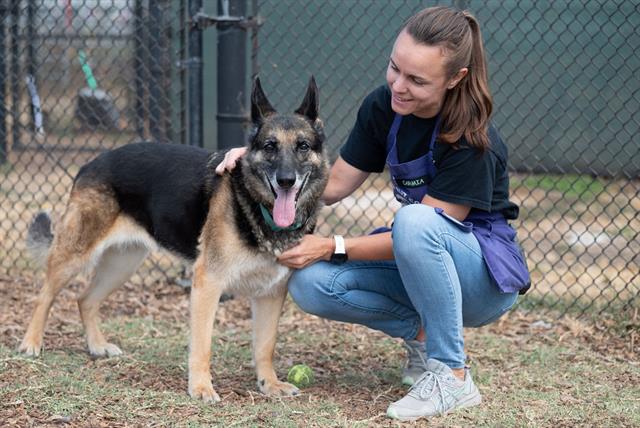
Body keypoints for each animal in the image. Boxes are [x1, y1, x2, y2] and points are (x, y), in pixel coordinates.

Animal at [20, 77, 330, 402]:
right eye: (270, 146)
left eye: (303, 146)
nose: (286, 181)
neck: (254, 203)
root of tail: (92, 162)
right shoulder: (208, 283)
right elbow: (203, 345)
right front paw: (201, 387)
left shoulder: (271, 292)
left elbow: (265, 346)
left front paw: (269, 384)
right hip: (76, 254)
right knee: (45, 295)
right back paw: (31, 343)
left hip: (122, 265)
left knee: (85, 299)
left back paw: (97, 346)